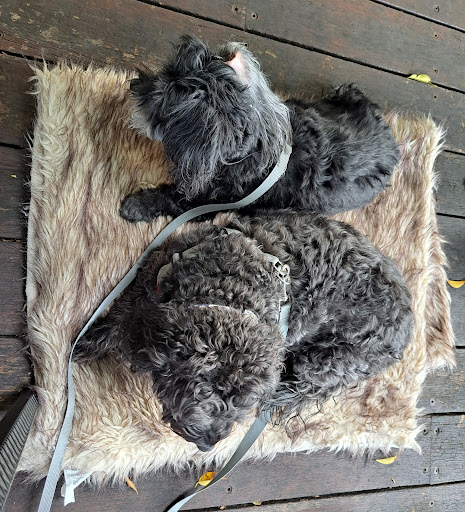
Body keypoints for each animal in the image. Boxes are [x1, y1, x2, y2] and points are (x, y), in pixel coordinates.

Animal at [74, 210, 412, 452]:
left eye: (242, 400)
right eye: (206, 389)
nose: (207, 444)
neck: (229, 285)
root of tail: (408, 325)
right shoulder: (151, 275)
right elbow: (122, 311)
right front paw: (89, 342)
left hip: (325, 361)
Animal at [120, 35, 400, 222]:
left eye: (162, 98)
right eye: (165, 72)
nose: (132, 84)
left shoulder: (204, 202)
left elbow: (170, 198)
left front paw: (134, 205)